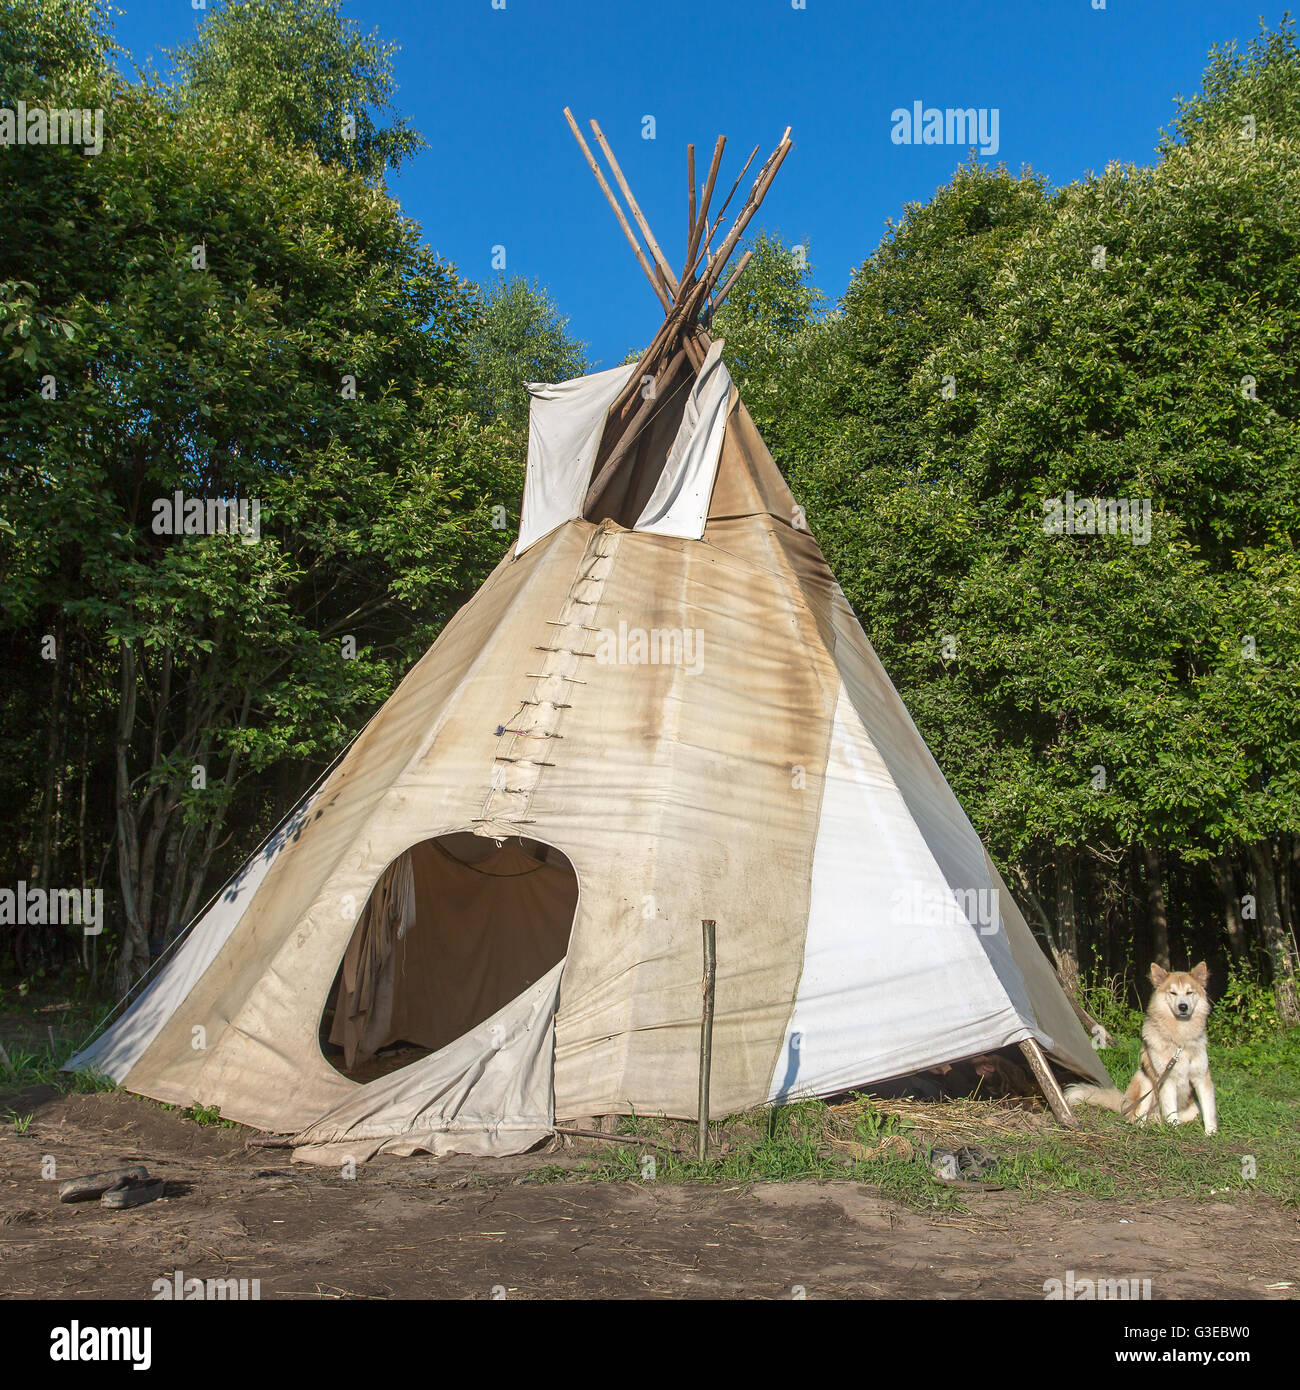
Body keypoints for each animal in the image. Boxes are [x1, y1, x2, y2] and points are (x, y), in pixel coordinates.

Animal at [1067, 961, 1217, 1134]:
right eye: (1172, 993)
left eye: (1189, 992)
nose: (1183, 1006)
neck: (1180, 1039)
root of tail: (1123, 1104)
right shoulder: (1166, 1080)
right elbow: (1171, 1112)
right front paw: (1174, 1131)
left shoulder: (1202, 1078)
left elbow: (1208, 1110)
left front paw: (1211, 1133)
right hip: (1144, 1081)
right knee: (1137, 1117)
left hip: (1190, 1108)